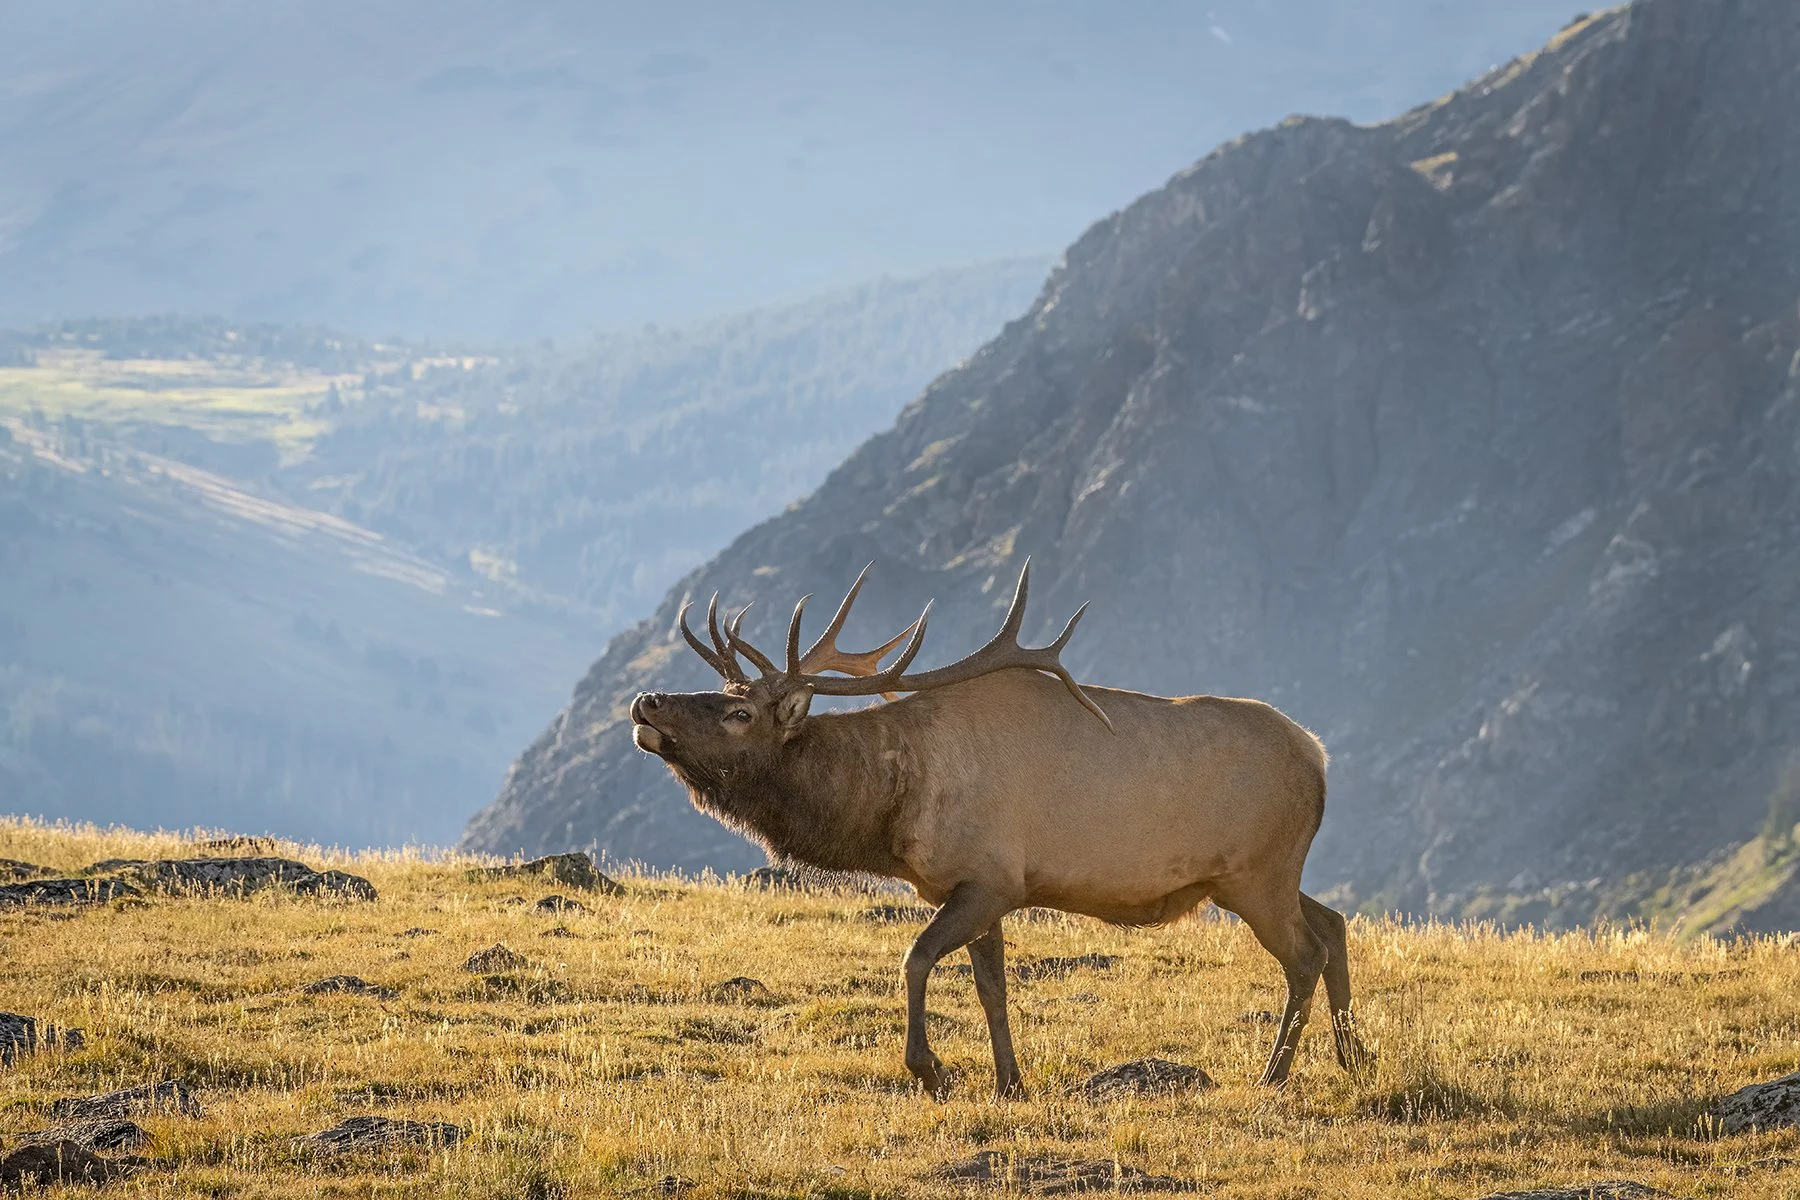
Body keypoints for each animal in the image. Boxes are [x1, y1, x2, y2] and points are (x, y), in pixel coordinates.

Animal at [628, 561, 1368, 1099]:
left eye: (740, 713)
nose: (647, 701)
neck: (890, 806)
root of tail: (1320, 757)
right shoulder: (979, 889)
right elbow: (993, 988)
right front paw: (1009, 1081)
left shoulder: (989, 880)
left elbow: (916, 958)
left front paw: (930, 1069)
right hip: (1256, 875)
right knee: (1333, 922)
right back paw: (1354, 1055)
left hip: (1258, 874)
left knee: (1305, 953)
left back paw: (1274, 1075)